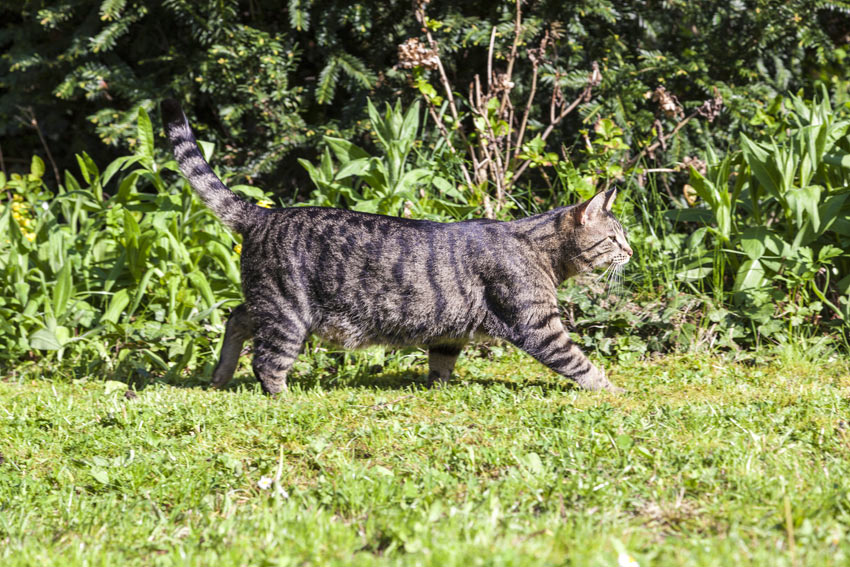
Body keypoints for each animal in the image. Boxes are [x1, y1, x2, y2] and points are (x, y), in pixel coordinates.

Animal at [162, 100, 632, 392]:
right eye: (614, 237)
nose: (631, 253)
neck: (540, 248)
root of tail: (263, 214)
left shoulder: (449, 332)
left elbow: (440, 366)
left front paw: (437, 391)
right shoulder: (539, 324)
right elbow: (579, 362)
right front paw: (612, 390)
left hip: (266, 302)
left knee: (236, 318)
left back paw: (219, 377)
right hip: (287, 313)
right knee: (266, 362)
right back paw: (281, 396)